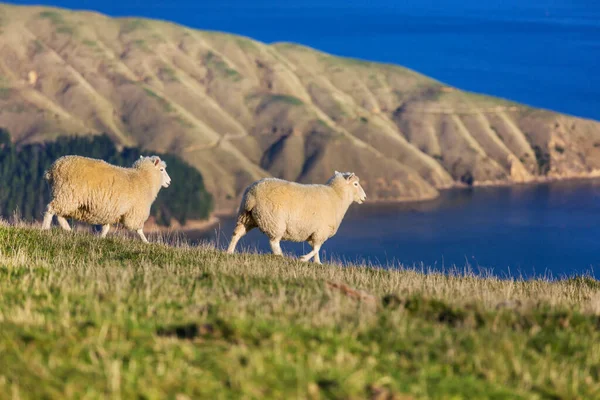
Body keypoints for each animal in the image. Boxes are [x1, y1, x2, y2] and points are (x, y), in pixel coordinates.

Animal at [41, 155, 171, 242]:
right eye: (162, 169)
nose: (169, 182)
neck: (144, 178)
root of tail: (52, 170)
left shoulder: (111, 209)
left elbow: (106, 227)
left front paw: (101, 238)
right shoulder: (135, 211)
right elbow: (139, 230)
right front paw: (146, 242)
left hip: (67, 198)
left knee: (59, 215)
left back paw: (68, 230)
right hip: (67, 194)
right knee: (50, 209)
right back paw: (45, 229)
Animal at [225, 171, 366, 262]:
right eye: (355, 184)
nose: (364, 197)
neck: (337, 196)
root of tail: (251, 195)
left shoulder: (314, 233)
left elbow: (316, 249)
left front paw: (317, 263)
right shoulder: (320, 231)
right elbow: (317, 248)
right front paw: (303, 259)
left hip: (246, 217)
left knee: (236, 234)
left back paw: (229, 252)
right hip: (274, 220)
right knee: (274, 242)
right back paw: (280, 256)